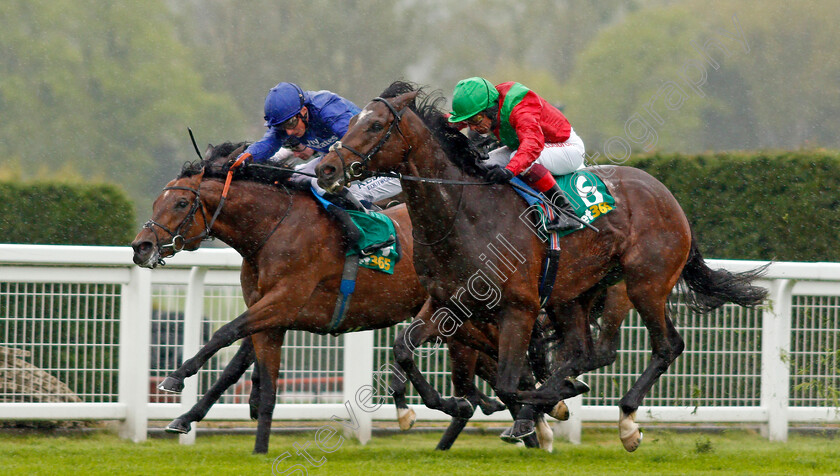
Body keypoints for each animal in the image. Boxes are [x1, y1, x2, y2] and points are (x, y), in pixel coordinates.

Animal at [131, 143, 552, 452]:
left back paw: (527, 418)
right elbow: (247, 372)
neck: (271, 229)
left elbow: (225, 335)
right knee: (493, 365)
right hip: (457, 320)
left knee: (508, 360)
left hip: (468, 316)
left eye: (180, 203)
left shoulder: (283, 301)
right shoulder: (272, 315)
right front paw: (203, 421)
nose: (141, 246)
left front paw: (175, 379)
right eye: (155, 202)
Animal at [316, 83, 768, 452]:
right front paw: (425, 407)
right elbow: (404, 348)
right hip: (576, 293)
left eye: (374, 125)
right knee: (584, 350)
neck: (463, 213)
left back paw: (624, 422)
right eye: (351, 121)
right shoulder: (446, 301)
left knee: (666, 346)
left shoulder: (520, 307)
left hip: (646, 284)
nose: (326, 169)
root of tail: (668, 196)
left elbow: (509, 381)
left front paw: (538, 410)